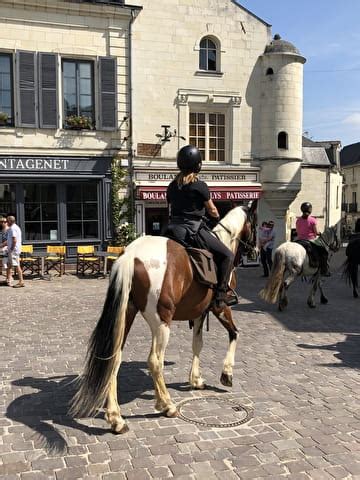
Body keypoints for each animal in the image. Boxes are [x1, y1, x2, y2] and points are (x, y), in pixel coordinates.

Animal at [69, 202, 256, 436]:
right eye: (254, 224)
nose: (255, 251)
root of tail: (131, 255)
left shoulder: (199, 313)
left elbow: (197, 344)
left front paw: (196, 379)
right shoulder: (220, 308)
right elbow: (234, 334)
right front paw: (226, 374)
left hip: (126, 316)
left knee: (114, 358)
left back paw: (116, 418)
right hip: (162, 322)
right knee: (155, 360)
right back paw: (166, 405)